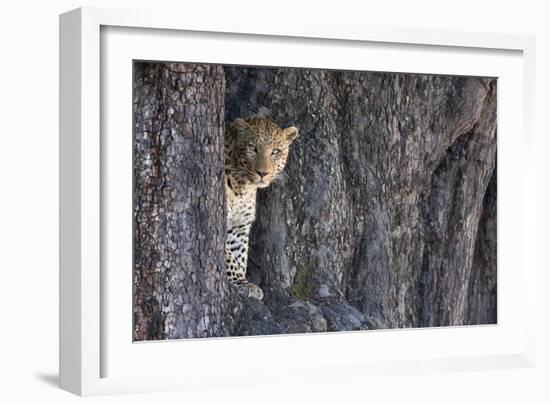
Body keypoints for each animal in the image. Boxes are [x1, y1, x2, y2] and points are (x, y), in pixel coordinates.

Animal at [224, 117, 300, 300]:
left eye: (275, 151)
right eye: (253, 148)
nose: (262, 173)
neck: (242, 187)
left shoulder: (239, 226)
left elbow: (239, 255)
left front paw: (242, 281)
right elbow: (228, 256)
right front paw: (241, 282)